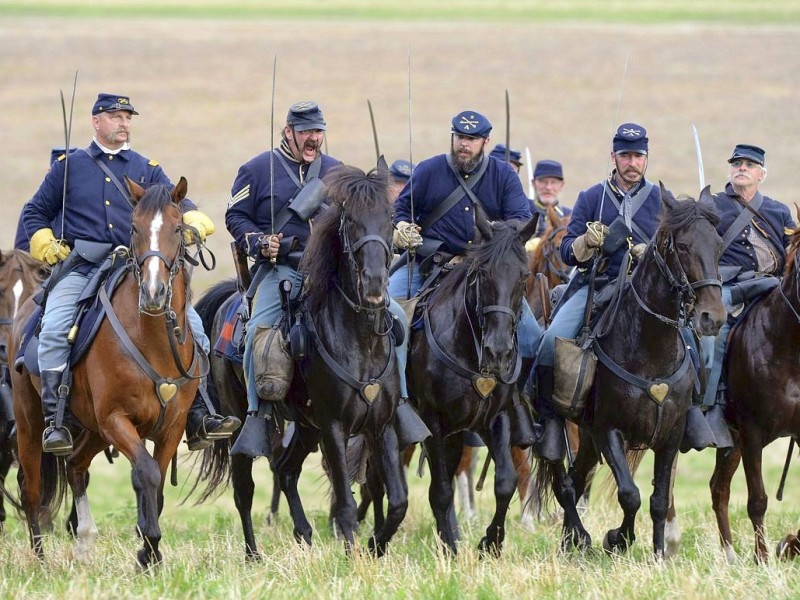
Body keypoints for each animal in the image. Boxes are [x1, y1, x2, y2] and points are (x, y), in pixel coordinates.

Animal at [9, 177, 202, 568]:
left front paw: (148, 552)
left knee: (75, 465)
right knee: (32, 488)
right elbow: (146, 472)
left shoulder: (171, 426)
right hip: (30, 422)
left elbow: (157, 483)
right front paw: (149, 546)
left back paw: (84, 541)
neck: (152, 339)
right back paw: (40, 559)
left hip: (94, 431)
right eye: (135, 228)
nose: (155, 293)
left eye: (178, 228)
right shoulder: (116, 418)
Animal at [192, 161, 406, 556]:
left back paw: (303, 532)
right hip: (244, 424)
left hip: (307, 428)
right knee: (244, 490)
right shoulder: (334, 427)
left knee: (286, 470)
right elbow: (345, 503)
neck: (359, 340)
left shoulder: (380, 425)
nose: (373, 285)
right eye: (350, 220)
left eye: (388, 217)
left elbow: (397, 501)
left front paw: (375, 548)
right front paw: (354, 555)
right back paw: (253, 554)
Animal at [410, 213, 540, 556]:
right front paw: (451, 547)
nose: (499, 352)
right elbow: (441, 490)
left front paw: (490, 542)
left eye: (523, 276)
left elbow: (505, 481)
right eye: (483, 273)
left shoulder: (495, 418)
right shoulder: (432, 421)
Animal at [536, 186, 728, 556]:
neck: (648, 347)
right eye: (683, 246)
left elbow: (658, 499)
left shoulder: (670, 435)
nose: (713, 317)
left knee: (577, 478)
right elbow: (630, 495)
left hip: (589, 440)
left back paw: (571, 540)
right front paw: (618, 538)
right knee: (563, 482)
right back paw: (578, 536)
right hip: (565, 429)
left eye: (718, 244)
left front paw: (658, 553)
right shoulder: (609, 431)